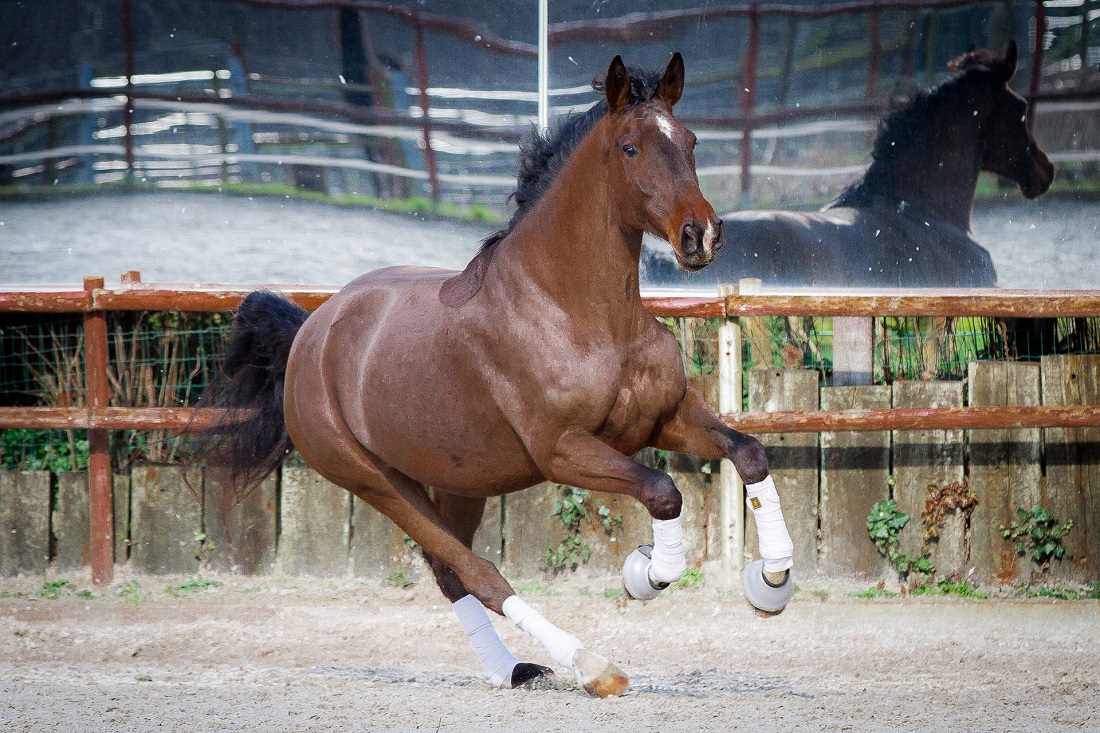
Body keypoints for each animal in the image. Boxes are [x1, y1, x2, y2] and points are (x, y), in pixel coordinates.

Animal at [200, 54, 800, 695]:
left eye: (689, 141)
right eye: (631, 147)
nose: (700, 234)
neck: (578, 310)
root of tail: (310, 332)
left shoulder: (664, 419)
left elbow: (749, 453)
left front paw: (771, 583)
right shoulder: (561, 450)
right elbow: (663, 491)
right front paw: (647, 574)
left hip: (458, 482)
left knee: (450, 576)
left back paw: (513, 669)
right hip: (374, 480)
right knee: (476, 572)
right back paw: (591, 666)